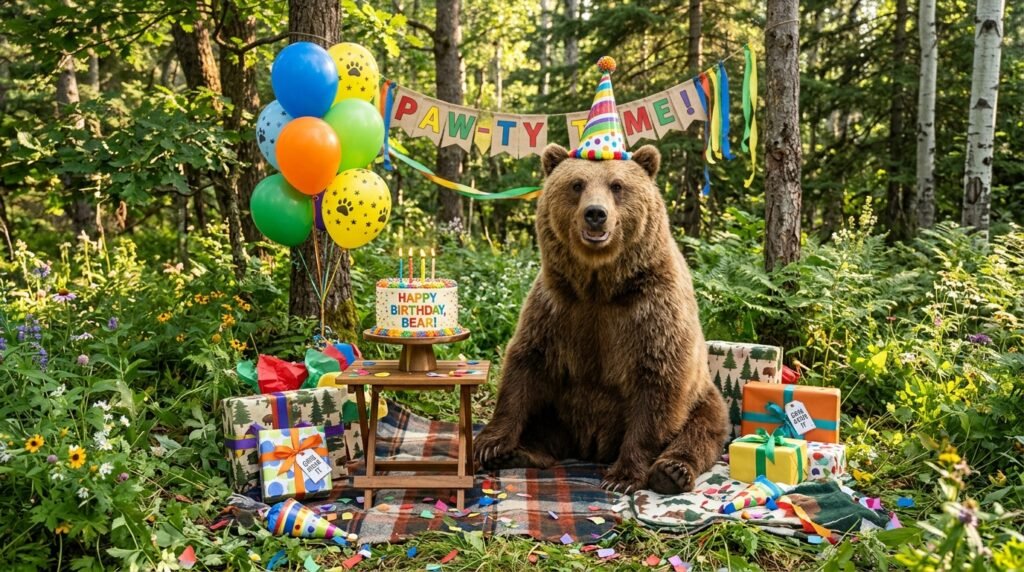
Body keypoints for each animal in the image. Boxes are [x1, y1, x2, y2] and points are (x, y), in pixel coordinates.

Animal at [473, 143, 729, 494]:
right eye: (577, 184)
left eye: (617, 185)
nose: (596, 213)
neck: (601, 285)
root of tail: (589, 447)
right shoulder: (558, 307)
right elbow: (526, 365)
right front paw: (491, 444)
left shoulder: (652, 311)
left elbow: (658, 382)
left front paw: (623, 476)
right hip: (561, 411)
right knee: (544, 423)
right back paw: (520, 452)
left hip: (703, 394)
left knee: (703, 427)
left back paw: (672, 471)